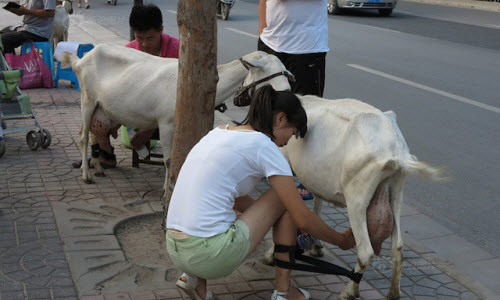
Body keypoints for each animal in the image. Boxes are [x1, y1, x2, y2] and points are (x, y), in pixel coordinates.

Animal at [61, 44, 292, 195]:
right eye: (267, 72)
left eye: (284, 71)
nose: (288, 93)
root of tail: (80, 60)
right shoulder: (165, 123)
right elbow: (169, 159)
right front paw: (166, 191)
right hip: (87, 99)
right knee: (82, 135)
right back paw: (86, 176)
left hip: (101, 109)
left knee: (95, 132)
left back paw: (98, 168)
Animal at [266, 95, 446, 300]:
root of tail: (394, 152)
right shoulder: (316, 181)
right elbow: (316, 207)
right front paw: (314, 245)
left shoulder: (283, 163)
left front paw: (272, 254)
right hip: (396, 191)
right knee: (398, 247)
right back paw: (393, 293)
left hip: (357, 198)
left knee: (366, 251)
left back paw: (349, 292)